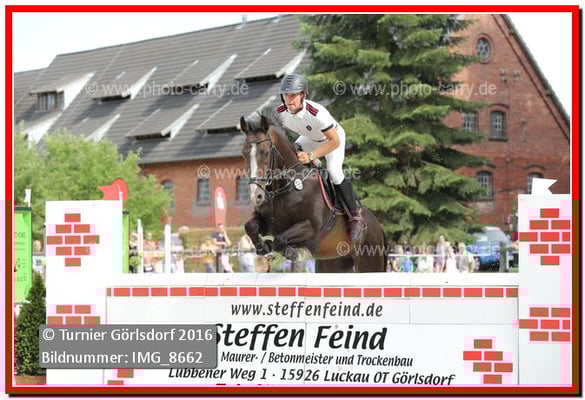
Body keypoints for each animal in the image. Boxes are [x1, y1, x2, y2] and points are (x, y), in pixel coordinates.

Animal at [239, 106, 387, 273]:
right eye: (244, 154)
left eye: (265, 152)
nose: (256, 196)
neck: (287, 185)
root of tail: (379, 227)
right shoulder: (267, 223)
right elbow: (250, 226)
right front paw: (263, 247)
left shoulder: (311, 226)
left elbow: (280, 240)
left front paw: (293, 252)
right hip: (333, 264)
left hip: (370, 261)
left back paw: (356, 227)